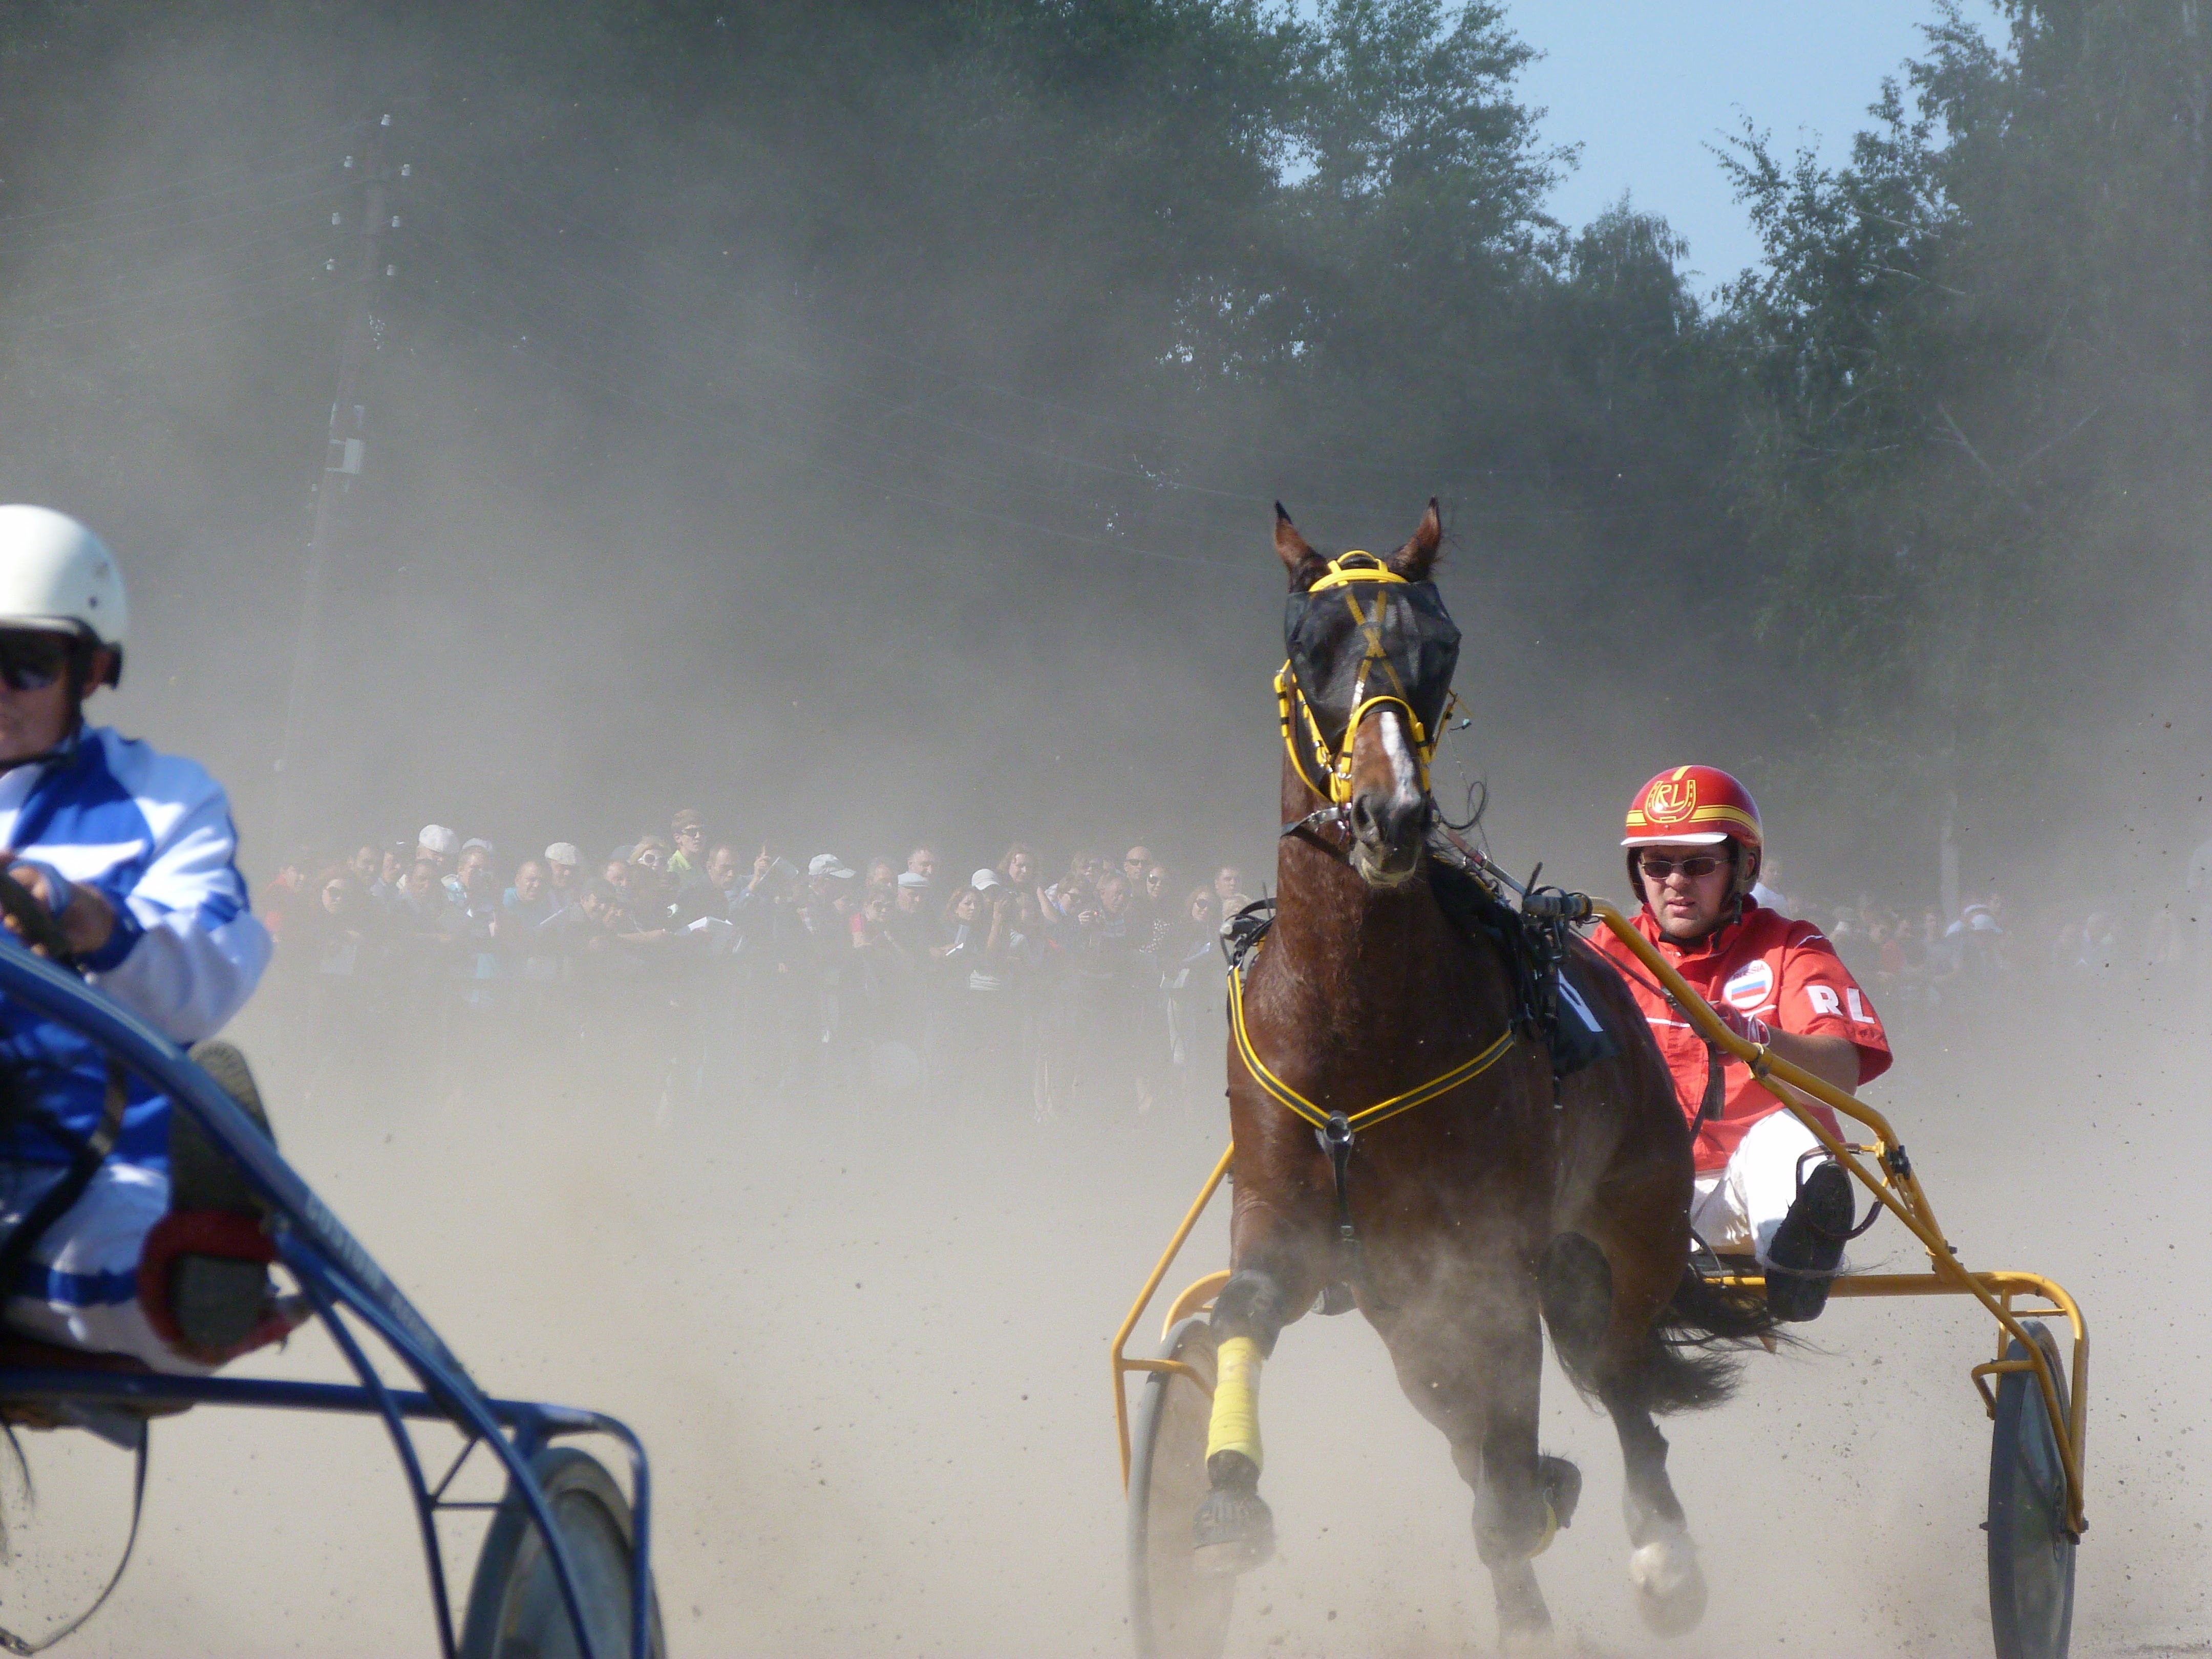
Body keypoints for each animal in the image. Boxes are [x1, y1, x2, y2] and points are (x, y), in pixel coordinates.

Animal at [1190, 501, 1775, 1648]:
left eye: (1444, 645)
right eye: (1306, 644)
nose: (1392, 817)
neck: (1358, 1027)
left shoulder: (1490, 1265)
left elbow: (1511, 1476)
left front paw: (1538, 1611)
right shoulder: (1289, 1222)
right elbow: (1239, 1311)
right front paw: (1228, 1492)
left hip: (1621, 1229)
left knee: (1617, 1380)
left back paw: (1661, 1556)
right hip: (1406, 1306)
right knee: (1476, 1425)